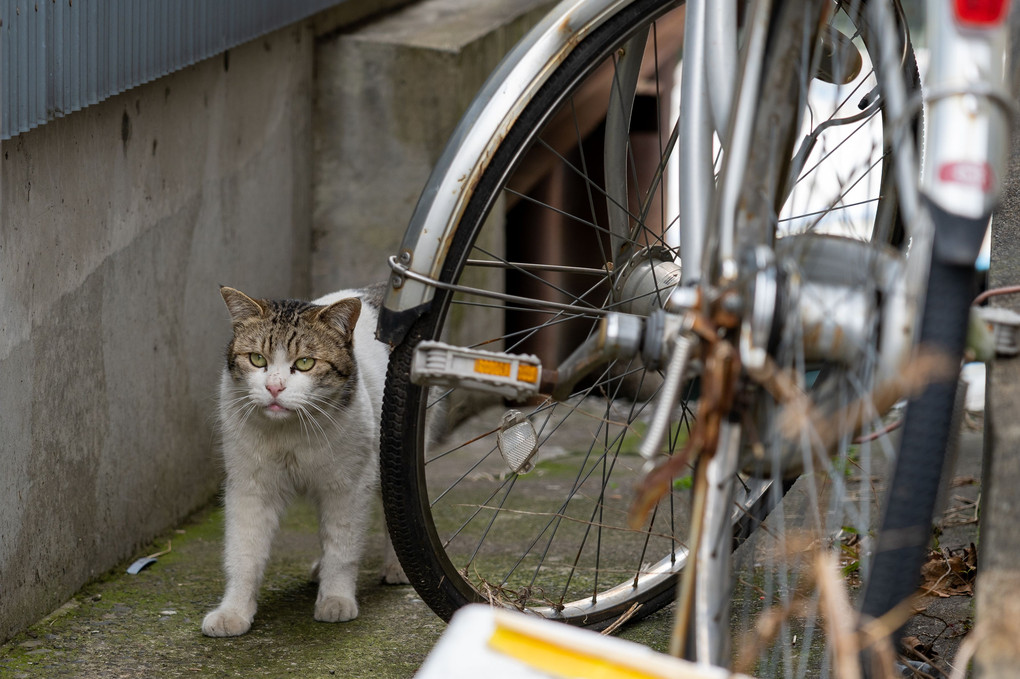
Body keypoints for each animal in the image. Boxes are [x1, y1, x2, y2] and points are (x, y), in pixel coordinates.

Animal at [198, 283, 405, 636]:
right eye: (257, 359)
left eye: (306, 363)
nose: (274, 387)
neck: (290, 431)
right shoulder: (250, 486)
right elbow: (243, 552)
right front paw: (234, 612)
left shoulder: (349, 484)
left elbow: (343, 547)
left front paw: (335, 599)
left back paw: (396, 566)